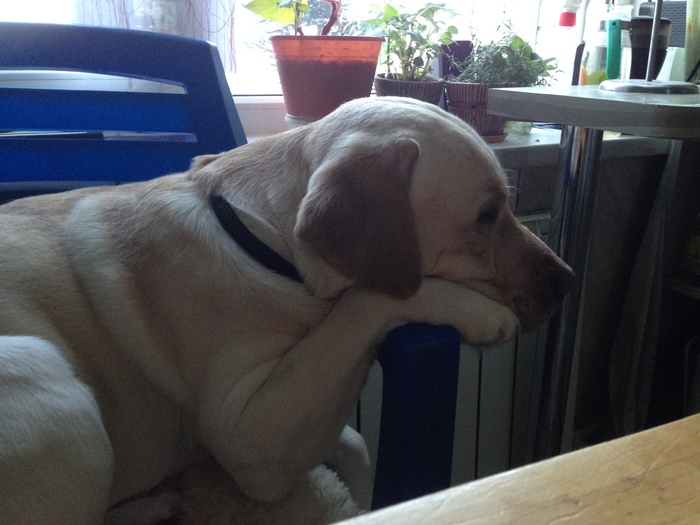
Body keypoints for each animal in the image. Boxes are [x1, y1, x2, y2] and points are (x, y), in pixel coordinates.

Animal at [0, 97, 574, 524]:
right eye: (486, 214)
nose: (568, 281)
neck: (262, 240)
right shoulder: (250, 434)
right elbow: (368, 300)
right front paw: (475, 311)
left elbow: (356, 445)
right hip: (45, 372)